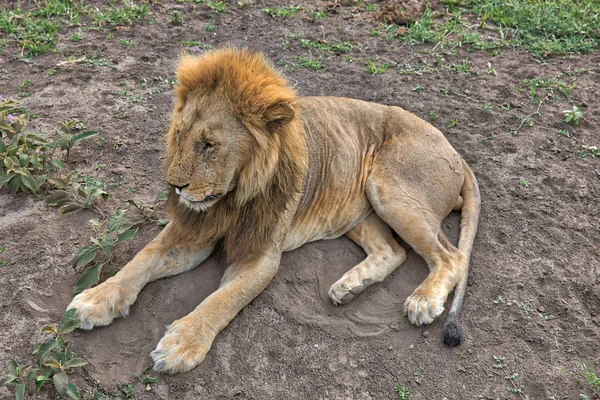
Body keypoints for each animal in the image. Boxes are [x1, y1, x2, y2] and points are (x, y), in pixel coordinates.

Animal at [68, 47, 480, 376]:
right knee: (392, 251)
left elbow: (221, 301)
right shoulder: (194, 228)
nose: (176, 186)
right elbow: (142, 258)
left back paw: (423, 300)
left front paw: (182, 342)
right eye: (179, 135)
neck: (231, 199)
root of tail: (455, 150)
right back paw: (350, 287)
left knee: (451, 256)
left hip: (389, 188)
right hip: (357, 210)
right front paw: (95, 299)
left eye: (210, 144)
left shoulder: (261, 255)